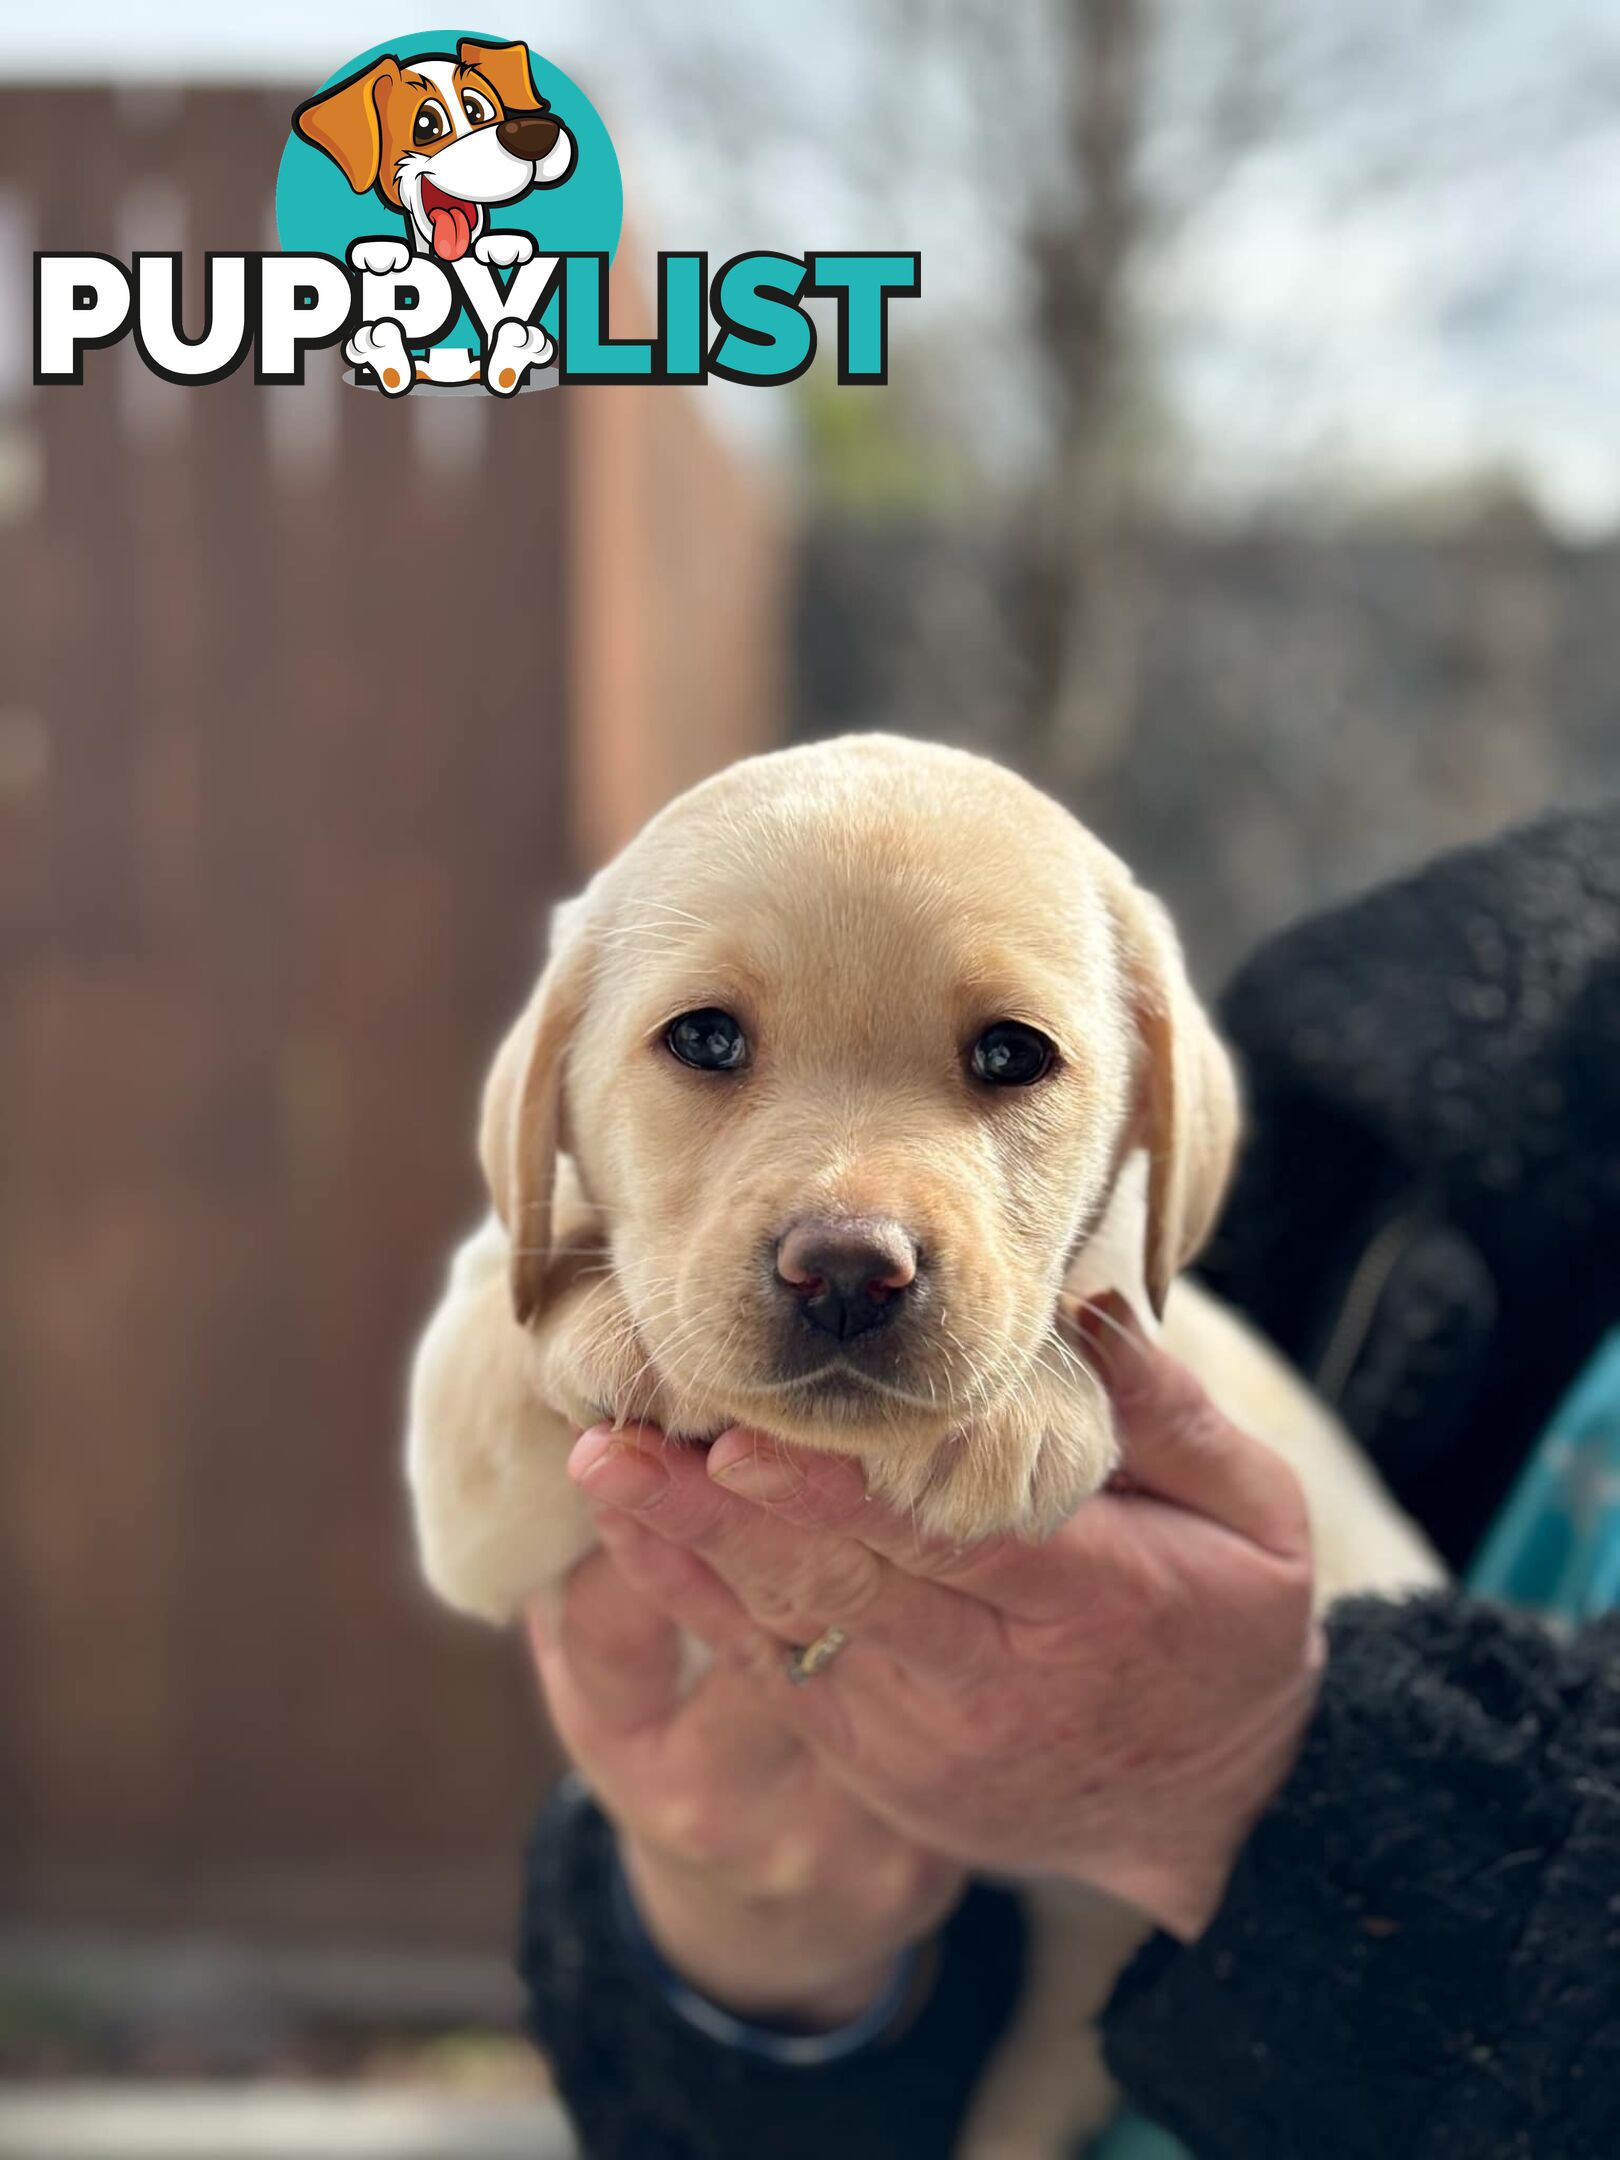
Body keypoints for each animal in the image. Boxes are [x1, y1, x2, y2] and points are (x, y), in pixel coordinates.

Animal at [408, 734, 1442, 2151]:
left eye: (1012, 1056)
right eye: (705, 1039)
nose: (848, 1271)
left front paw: (1015, 1414)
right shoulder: (467, 1475)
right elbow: (505, 1317)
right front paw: (616, 1324)